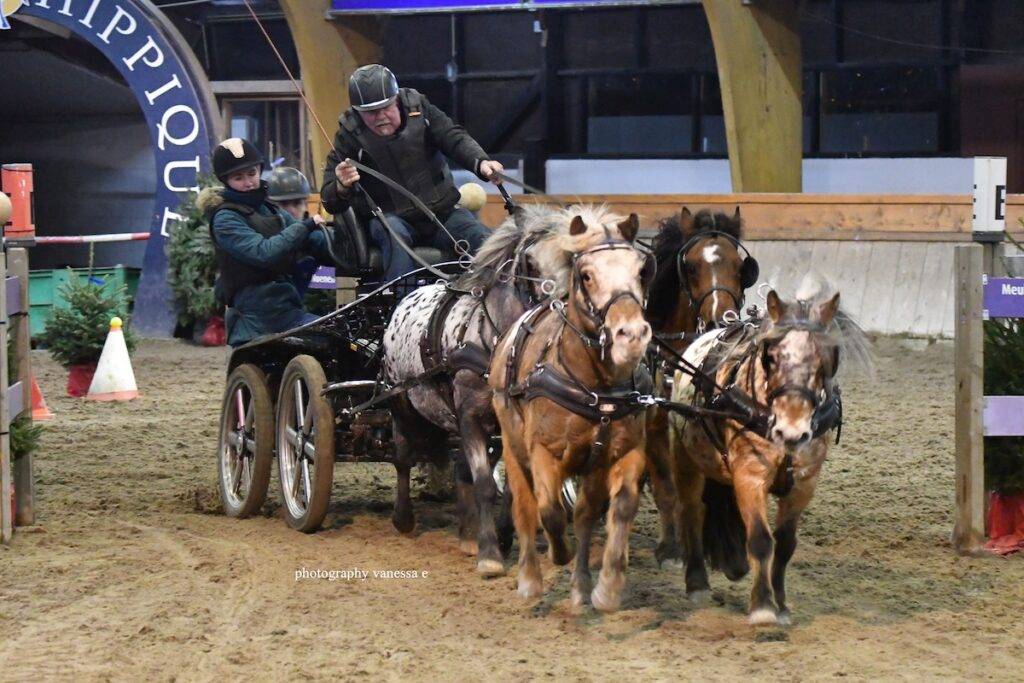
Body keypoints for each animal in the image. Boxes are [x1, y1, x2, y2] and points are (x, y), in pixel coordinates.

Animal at [379, 204, 623, 578]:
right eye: (530, 263)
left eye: (576, 262)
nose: (560, 305)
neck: (500, 346)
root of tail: (408, 295)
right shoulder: (469, 417)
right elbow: (484, 484)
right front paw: (491, 554)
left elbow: (510, 488)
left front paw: (506, 537)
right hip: (402, 402)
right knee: (404, 457)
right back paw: (404, 518)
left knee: (459, 468)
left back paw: (467, 534)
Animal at [489, 211, 654, 611]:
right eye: (587, 275)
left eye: (641, 271)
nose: (631, 335)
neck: (596, 387)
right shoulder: (543, 452)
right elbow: (548, 511)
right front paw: (555, 556)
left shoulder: (625, 453)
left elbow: (620, 507)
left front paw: (607, 588)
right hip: (513, 447)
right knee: (525, 506)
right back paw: (530, 579)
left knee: (583, 516)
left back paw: (580, 587)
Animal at [643, 207, 760, 586]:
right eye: (691, 267)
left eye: (740, 267)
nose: (719, 320)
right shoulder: (654, 426)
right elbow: (667, 487)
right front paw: (671, 549)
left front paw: (729, 550)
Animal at [666, 280, 870, 625]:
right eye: (770, 357)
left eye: (826, 359)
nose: (791, 432)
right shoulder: (750, 475)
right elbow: (761, 540)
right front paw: (762, 607)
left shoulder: (804, 484)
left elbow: (785, 545)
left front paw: (782, 605)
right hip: (684, 459)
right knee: (692, 511)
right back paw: (697, 584)